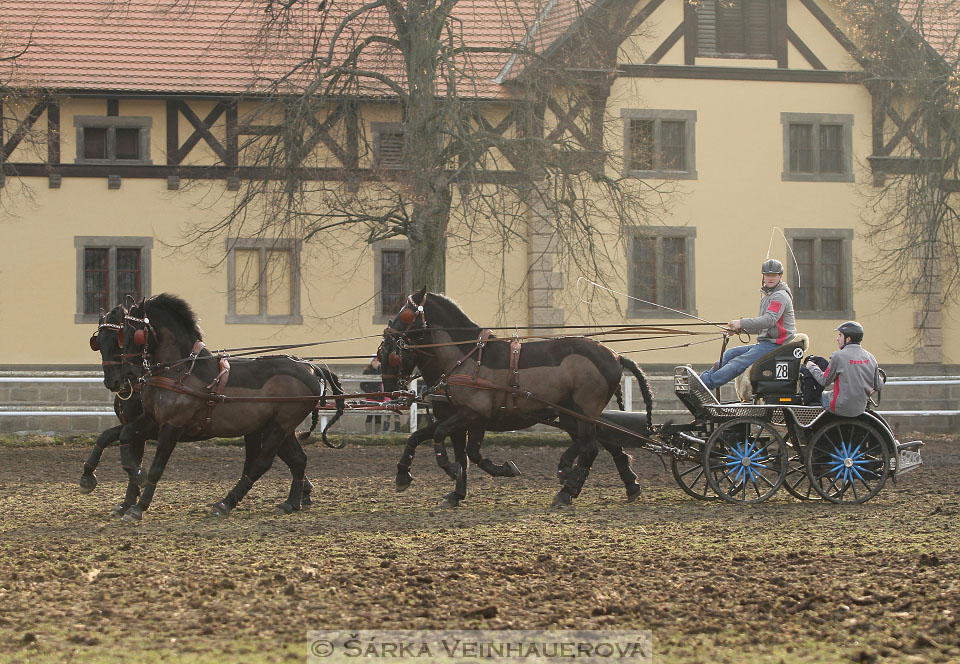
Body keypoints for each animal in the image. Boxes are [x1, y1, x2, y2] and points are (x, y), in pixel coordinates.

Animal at [84, 306, 344, 520]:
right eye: (99, 342)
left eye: (128, 336)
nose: (119, 378)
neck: (178, 372)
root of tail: (309, 368)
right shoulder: (149, 422)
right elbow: (114, 436)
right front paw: (106, 486)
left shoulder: (171, 426)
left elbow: (152, 465)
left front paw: (136, 503)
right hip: (278, 428)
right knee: (297, 460)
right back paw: (292, 501)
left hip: (279, 426)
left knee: (261, 463)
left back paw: (226, 502)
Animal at [378, 286, 656, 508]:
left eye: (406, 313)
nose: (390, 389)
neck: (466, 358)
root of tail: (614, 356)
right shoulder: (462, 418)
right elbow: (434, 442)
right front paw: (440, 485)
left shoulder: (473, 414)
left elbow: (449, 443)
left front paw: (454, 469)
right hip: (572, 414)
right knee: (606, 441)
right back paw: (629, 484)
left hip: (583, 411)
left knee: (590, 448)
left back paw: (566, 492)